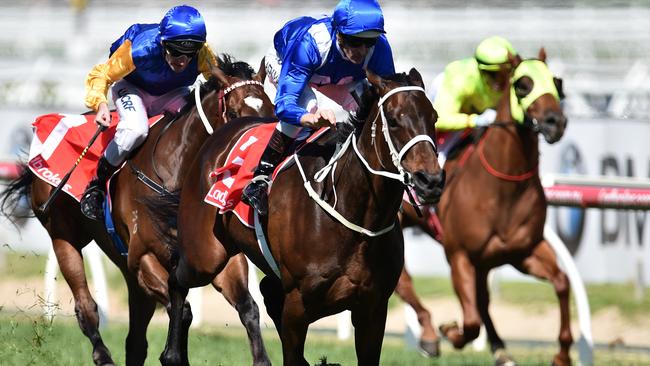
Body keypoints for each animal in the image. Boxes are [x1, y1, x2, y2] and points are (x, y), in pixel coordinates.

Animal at [0, 54, 274, 366]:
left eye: (271, 110)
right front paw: (171, 354)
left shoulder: (215, 257)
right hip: (64, 237)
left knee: (136, 338)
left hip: (124, 263)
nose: (263, 161)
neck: (176, 171)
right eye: (237, 112)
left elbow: (248, 307)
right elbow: (183, 310)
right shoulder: (145, 257)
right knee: (86, 307)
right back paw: (103, 355)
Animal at [151, 69, 446, 366]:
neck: (356, 219)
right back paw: (172, 354)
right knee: (176, 279)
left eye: (433, 117)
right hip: (205, 256)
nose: (430, 180)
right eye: (394, 121)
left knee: (267, 291)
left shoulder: (372, 310)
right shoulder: (296, 306)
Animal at [400, 49, 568, 366]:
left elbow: (562, 282)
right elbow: (470, 322)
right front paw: (450, 331)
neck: (503, 189)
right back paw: (429, 334)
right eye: (523, 85)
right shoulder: (459, 256)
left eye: (556, 82)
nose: (556, 122)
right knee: (403, 281)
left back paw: (500, 349)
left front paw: (562, 355)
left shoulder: (524, 251)